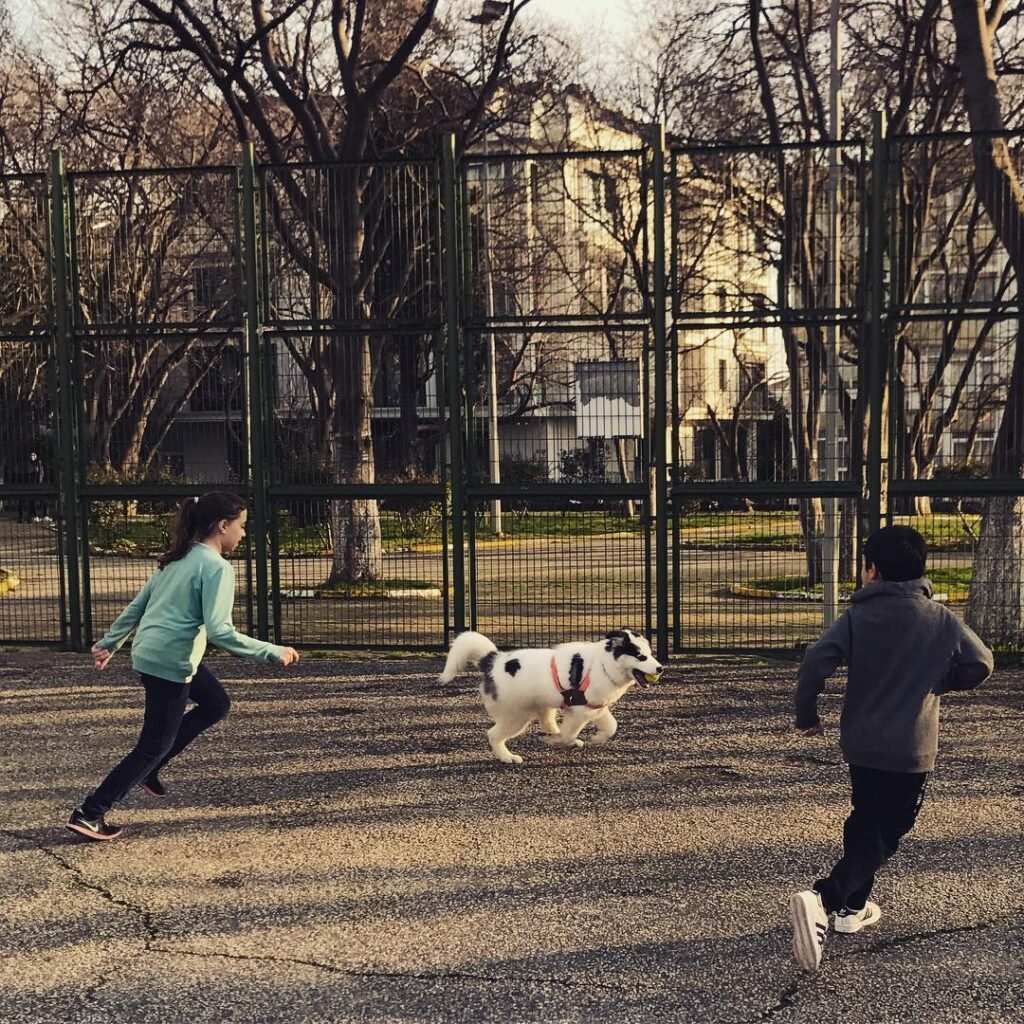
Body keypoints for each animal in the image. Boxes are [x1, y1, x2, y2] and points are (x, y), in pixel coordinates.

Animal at [434, 626, 663, 765]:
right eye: (641, 656)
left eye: (651, 653)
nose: (660, 668)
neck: (603, 664)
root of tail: (493, 660)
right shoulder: (579, 713)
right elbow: (568, 733)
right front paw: (556, 741)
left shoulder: (595, 709)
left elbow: (611, 727)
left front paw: (595, 738)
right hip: (516, 718)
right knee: (493, 735)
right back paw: (508, 757)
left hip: (542, 707)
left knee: (547, 723)